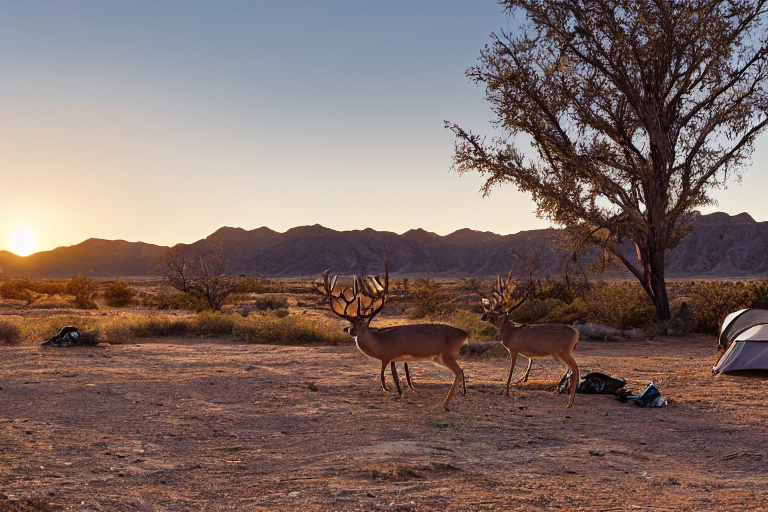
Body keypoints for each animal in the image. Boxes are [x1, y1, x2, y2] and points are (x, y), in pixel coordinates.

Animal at [322, 258, 468, 411]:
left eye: (362, 323)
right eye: (351, 324)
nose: (350, 331)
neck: (380, 342)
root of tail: (465, 334)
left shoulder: (388, 357)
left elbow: (384, 376)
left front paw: (392, 390)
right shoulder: (392, 359)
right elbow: (394, 375)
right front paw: (400, 391)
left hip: (447, 355)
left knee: (458, 371)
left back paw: (445, 404)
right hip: (439, 358)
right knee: (461, 370)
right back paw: (460, 394)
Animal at [479, 274, 580, 408]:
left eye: (494, 312)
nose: (483, 316)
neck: (510, 334)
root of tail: (576, 333)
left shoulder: (514, 349)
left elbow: (511, 369)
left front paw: (506, 391)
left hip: (564, 351)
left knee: (575, 370)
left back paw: (570, 403)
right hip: (564, 352)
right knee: (572, 371)